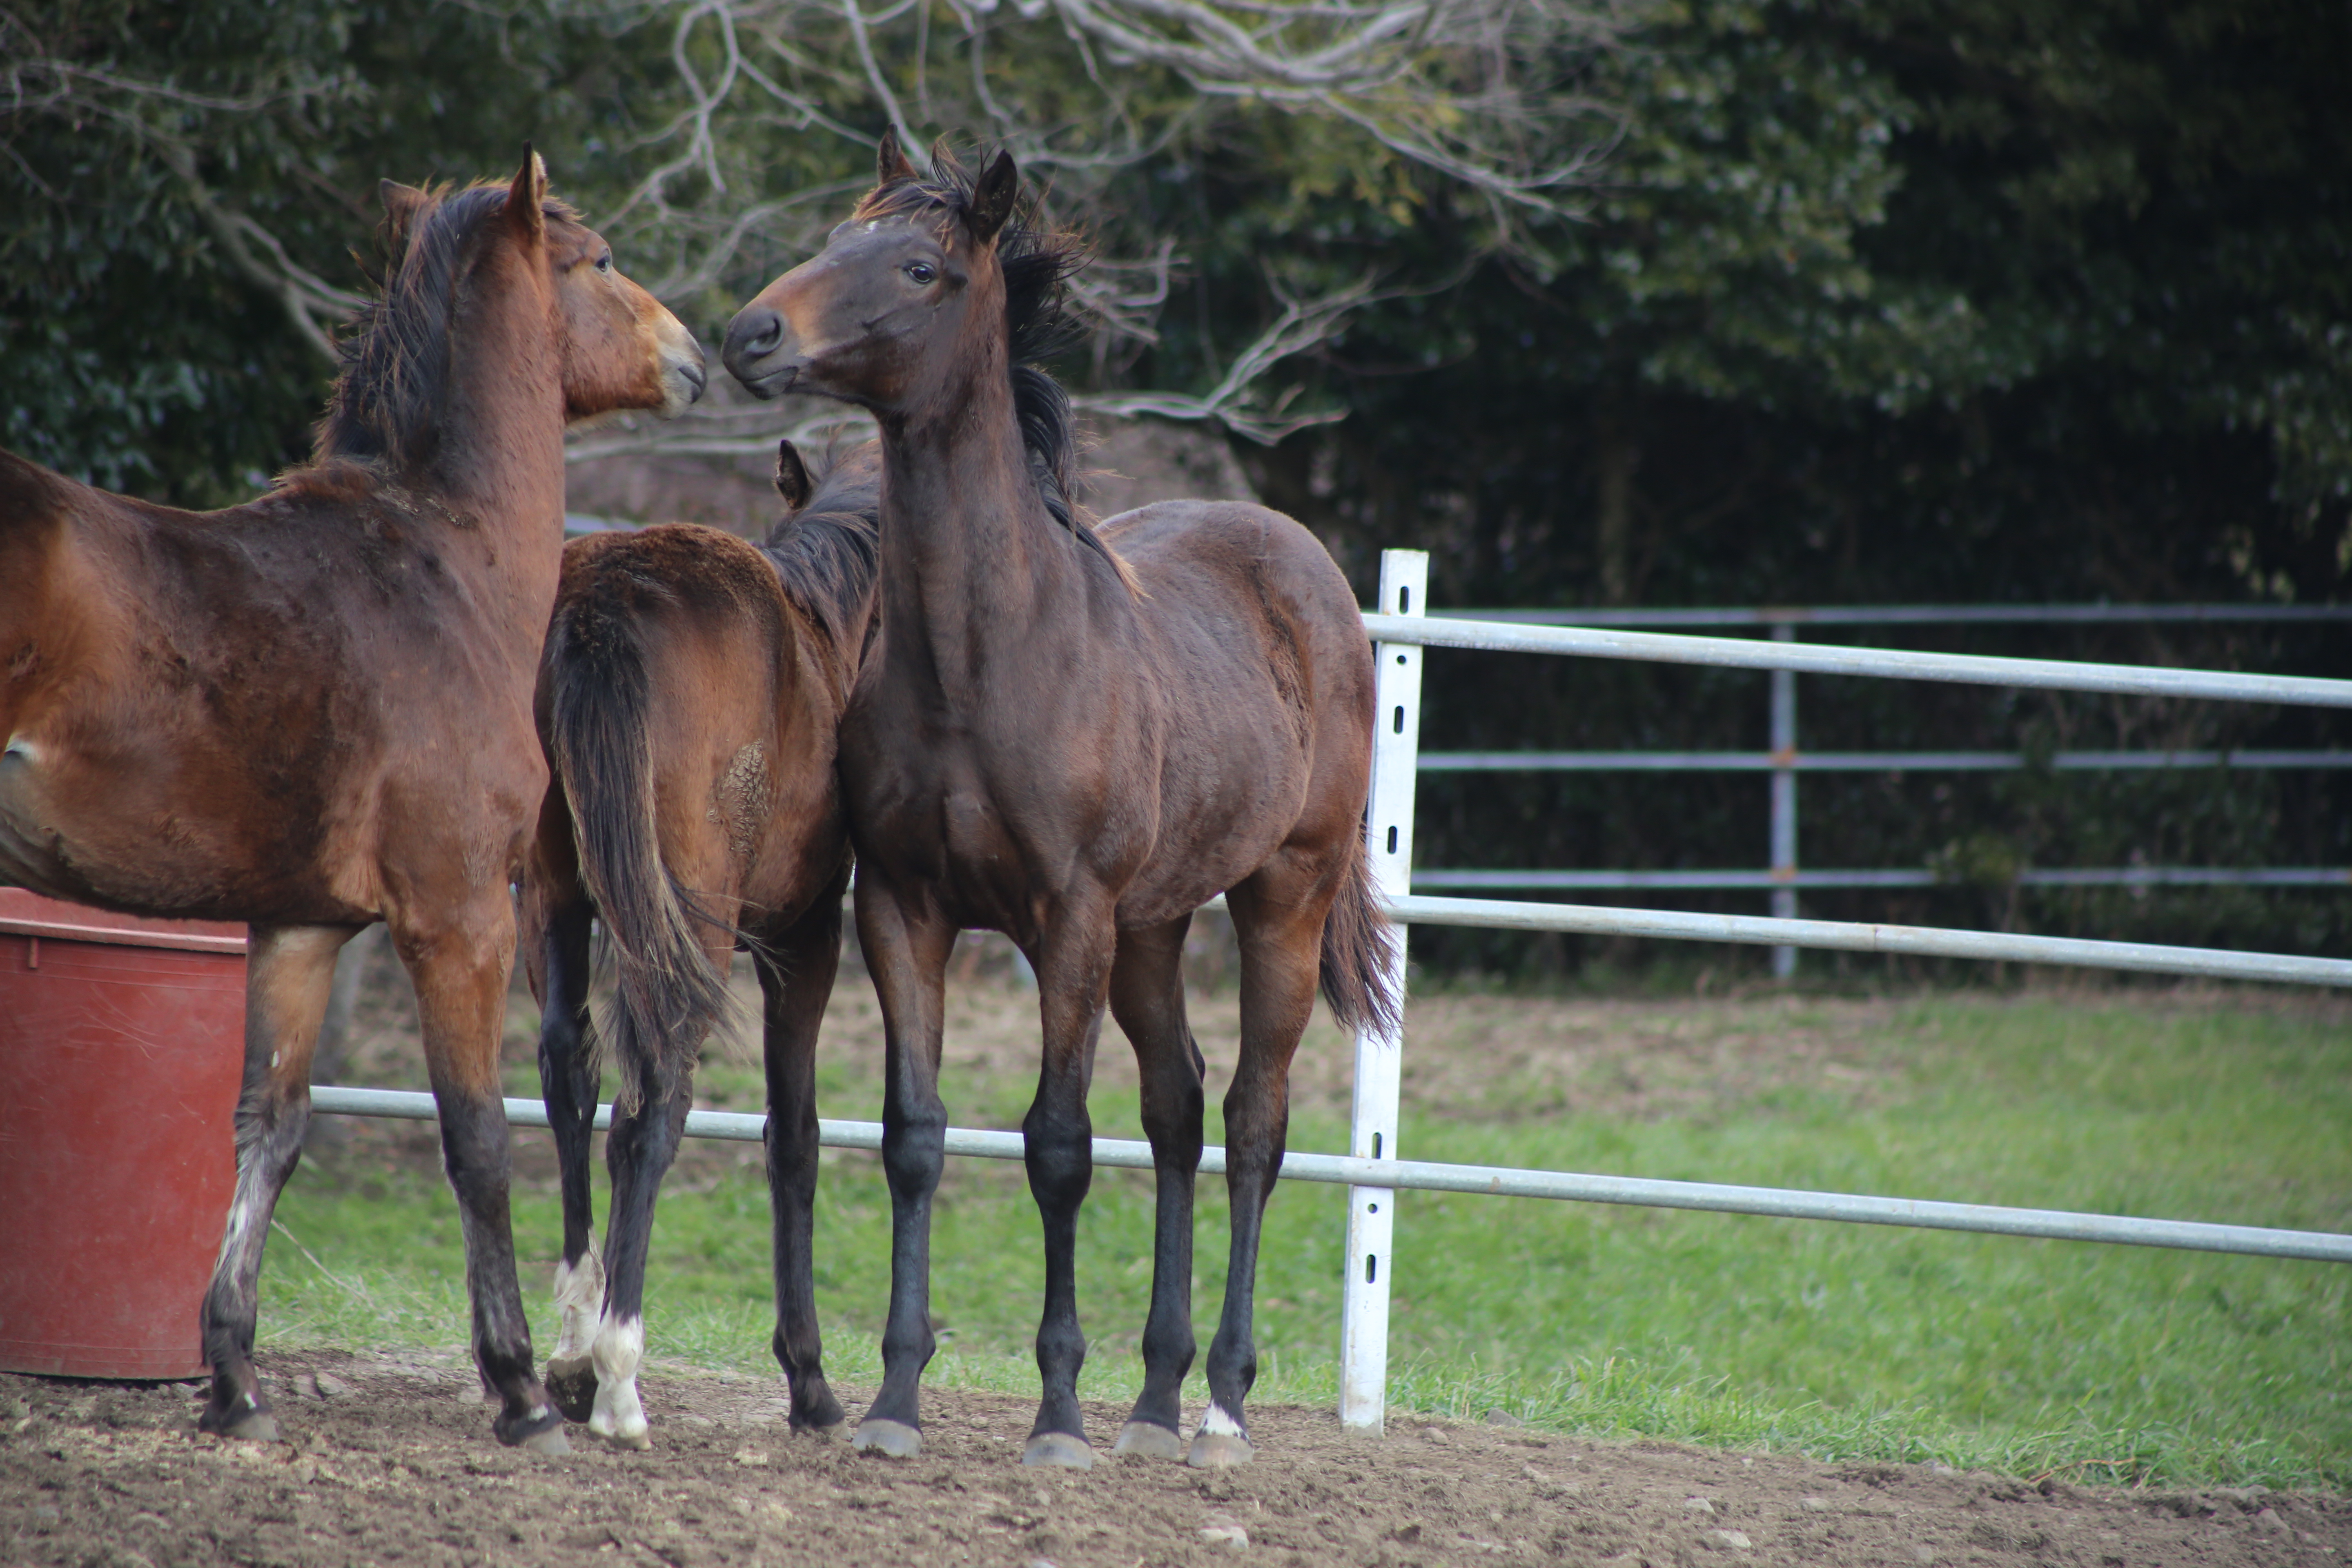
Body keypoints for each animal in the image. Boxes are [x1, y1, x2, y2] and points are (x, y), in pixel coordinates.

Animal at [0, 153, 706, 1457]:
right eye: (598, 261)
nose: (693, 353)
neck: (441, 563)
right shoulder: (462, 920)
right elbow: (476, 1141)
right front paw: (520, 1388)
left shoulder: (300, 930)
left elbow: (268, 1130)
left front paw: (234, 1381)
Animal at [519, 432, 880, 1448]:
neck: (823, 633)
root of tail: (601, 608)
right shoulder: (806, 942)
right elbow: (793, 1138)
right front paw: (809, 1380)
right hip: (693, 924)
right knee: (653, 1106)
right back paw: (618, 1377)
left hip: (561, 897)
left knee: (571, 1074)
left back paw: (573, 1345)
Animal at [715, 141, 1392, 1476]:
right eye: (833, 237)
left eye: (919, 267)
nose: (751, 332)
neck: (987, 656)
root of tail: (1306, 565)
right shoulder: (906, 911)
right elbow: (915, 1135)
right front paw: (894, 1400)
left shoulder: (1068, 918)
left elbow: (1059, 1146)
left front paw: (1058, 1417)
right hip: (1154, 926)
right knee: (1177, 1105)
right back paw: (1156, 1401)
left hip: (1279, 897)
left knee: (1252, 1120)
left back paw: (1219, 1407)